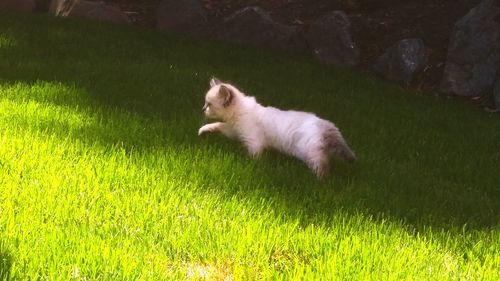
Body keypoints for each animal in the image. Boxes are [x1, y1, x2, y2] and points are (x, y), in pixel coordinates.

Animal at [197, 77, 358, 176]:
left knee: (322, 166)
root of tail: (325, 124)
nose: (202, 109)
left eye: (209, 105)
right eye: (205, 103)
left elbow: (255, 157)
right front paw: (203, 131)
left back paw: (320, 182)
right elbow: (217, 125)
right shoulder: (233, 131)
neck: (240, 112)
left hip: (310, 153)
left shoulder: (254, 142)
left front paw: (252, 165)